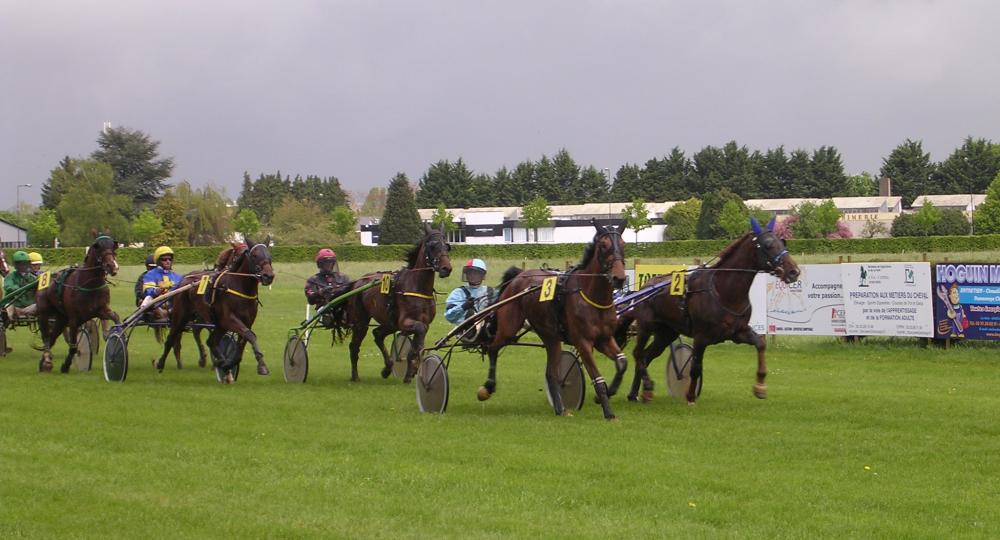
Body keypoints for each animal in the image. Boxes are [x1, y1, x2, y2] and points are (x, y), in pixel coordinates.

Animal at [35, 234, 121, 374]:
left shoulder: (101, 310)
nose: (112, 266)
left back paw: (44, 362)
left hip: (61, 318)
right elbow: (74, 347)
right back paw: (47, 359)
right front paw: (65, 366)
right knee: (46, 338)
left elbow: (115, 316)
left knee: (52, 337)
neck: (90, 284)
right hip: (43, 313)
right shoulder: (74, 319)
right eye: (98, 247)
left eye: (113, 247)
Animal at [151, 237, 274, 384]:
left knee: (211, 341)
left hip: (218, 324)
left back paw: (220, 361)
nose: (268, 276)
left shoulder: (245, 322)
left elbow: (243, 343)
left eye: (270, 255)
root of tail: (184, 279)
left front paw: (227, 364)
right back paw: (160, 363)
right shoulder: (229, 319)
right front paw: (262, 365)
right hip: (181, 316)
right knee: (172, 338)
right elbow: (249, 335)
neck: (239, 288)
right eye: (255, 255)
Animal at [346, 224, 452, 384]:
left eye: (447, 246)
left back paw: (387, 368)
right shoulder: (405, 322)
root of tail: (359, 281)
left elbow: (418, 344)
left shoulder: (423, 323)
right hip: (361, 321)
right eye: (433, 246)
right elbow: (419, 332)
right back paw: (355, 376)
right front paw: (411, 371)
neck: (417, 287)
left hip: (390, 322)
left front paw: (412, 370)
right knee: (354, 346)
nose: (447, 268)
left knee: (377, 334)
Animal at [478, 221, 624, 420]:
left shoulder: (605, 339)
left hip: (551, 336)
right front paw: (608, 412)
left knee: (551, 373)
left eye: (623, 244)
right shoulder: (584, 342)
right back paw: (488, 387)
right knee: (493, 348)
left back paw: (560, 408)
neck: (592, 297)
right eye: (603, 245)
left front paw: (610, 392)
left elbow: (622, 363)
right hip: (509, 326)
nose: (619, 278)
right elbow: (597, 378)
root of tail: (519, 275)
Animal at [612, 217, 800, 402]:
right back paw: (643, 388)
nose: (794, 271)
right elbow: (695, 367)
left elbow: (760, 344)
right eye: (768, 244)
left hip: (666, 333)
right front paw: (689, 396)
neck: (724, 291)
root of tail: (643, 289)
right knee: (638, 353)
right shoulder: (701, 336)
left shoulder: (738, 332)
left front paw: (760, 386)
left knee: (646, 357)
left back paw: (639, 393)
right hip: (646, 326)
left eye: (783, 242)